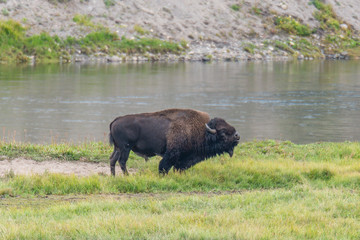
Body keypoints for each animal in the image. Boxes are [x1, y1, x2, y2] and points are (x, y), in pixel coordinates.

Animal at [109, 108, 239, 174]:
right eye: (223, 133)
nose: (237, 136)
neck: (202, 130)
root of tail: (116, 120)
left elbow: (178, 167)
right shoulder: (172, 153)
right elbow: (164, 166)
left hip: (118, 148)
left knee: (112, 160)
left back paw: (113, 177)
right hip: (126, 148)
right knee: (122, 161)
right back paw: (127, 176)